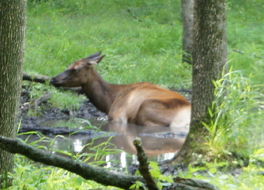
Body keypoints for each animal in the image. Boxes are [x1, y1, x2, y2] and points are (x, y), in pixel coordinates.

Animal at [51, 52, 191, 128]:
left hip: (147, 109)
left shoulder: (117, 116)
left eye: (75, 69)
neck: (109, 101)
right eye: (69, 65)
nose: (53, 79)